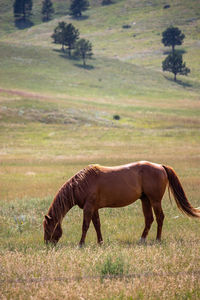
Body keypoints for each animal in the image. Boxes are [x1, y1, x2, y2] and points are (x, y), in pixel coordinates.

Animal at [43, 162, 199, 246]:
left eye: (47, 228)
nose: (47, 245)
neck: (82, 183)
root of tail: (160, 166)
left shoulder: (88, 207)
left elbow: (85, 226)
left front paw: (81, 244)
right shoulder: (94, 208)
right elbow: (97, 225)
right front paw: (100, 242)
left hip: (155, 201)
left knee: (160, 218)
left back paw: (157, 239)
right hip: (145, 200)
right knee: (149, 219)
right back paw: (142, 240)